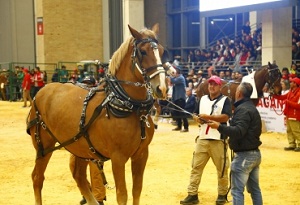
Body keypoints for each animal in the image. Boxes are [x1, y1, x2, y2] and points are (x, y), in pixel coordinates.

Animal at [26, 24, 176, 205]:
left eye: (161, 51)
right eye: (143, 51)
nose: (162, 88)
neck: (130, 107)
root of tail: (41, 91)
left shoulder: (141, 154)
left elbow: (137, 191)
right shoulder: (118, 158)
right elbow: (122, 195)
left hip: (79, 146)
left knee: (79, 176)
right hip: (44, 146)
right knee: (37, 178)